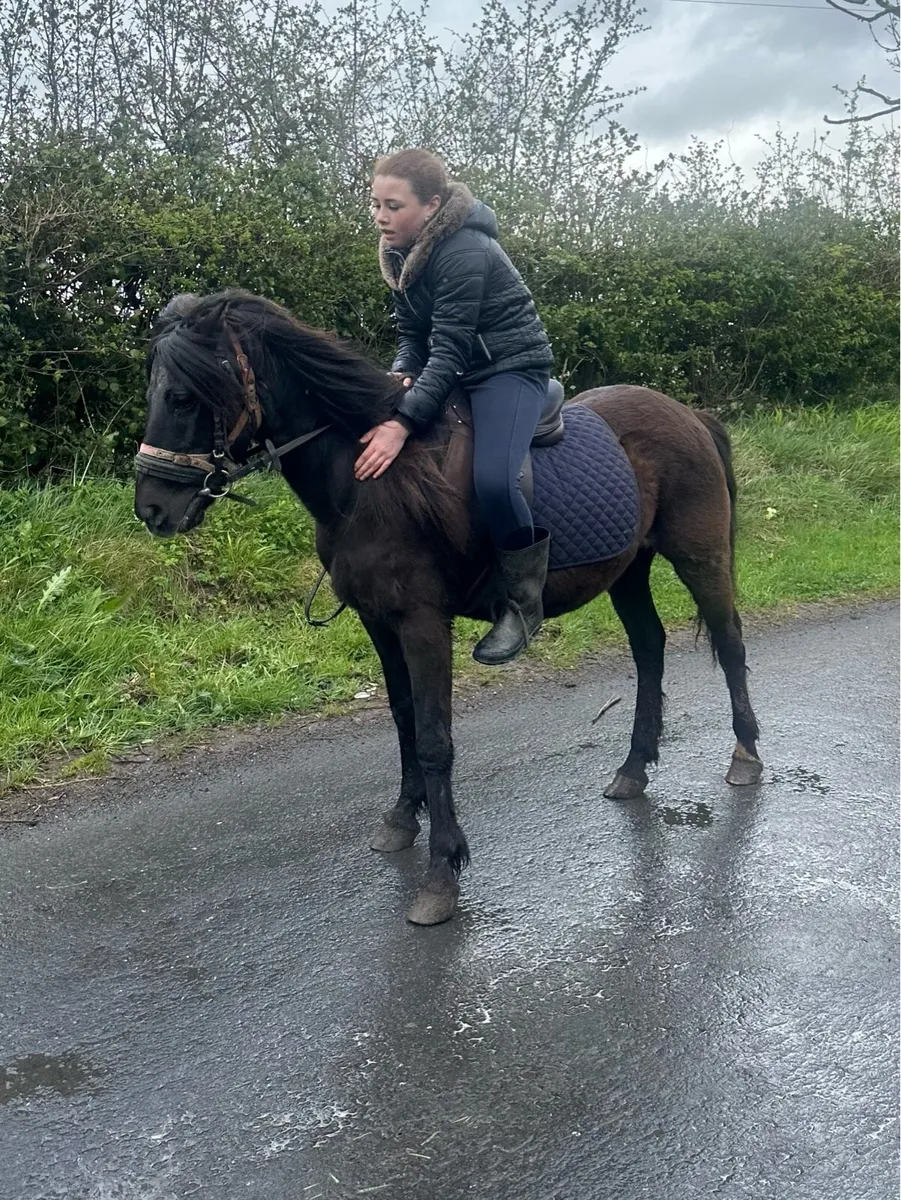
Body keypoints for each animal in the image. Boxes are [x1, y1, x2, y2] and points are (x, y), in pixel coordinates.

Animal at [134, 290, 763, 926]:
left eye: (182, 396)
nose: (152, 509)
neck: (367, 480)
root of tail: (691, 416)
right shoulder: (378, 622)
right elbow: (405, 719)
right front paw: (400, 819)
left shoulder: (422, 623)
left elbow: (436, 738)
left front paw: (441, 871)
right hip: (628, 570)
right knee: (650, 647)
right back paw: (634, 768)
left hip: (699, 555)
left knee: (730, 642)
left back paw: (746, 755)